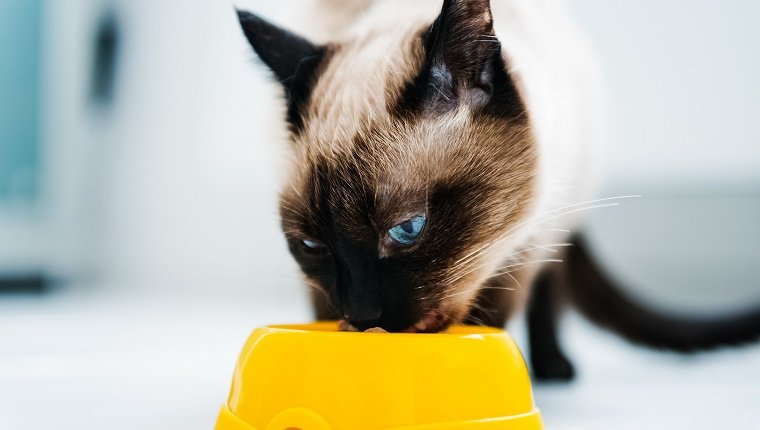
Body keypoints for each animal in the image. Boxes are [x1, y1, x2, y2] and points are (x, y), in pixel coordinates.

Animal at [238, 0, 760, 380]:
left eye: (407, 229)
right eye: (311, 246)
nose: (365, 316)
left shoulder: (521, 246)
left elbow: (496, 319)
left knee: (550, 292)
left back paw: (554, 370)